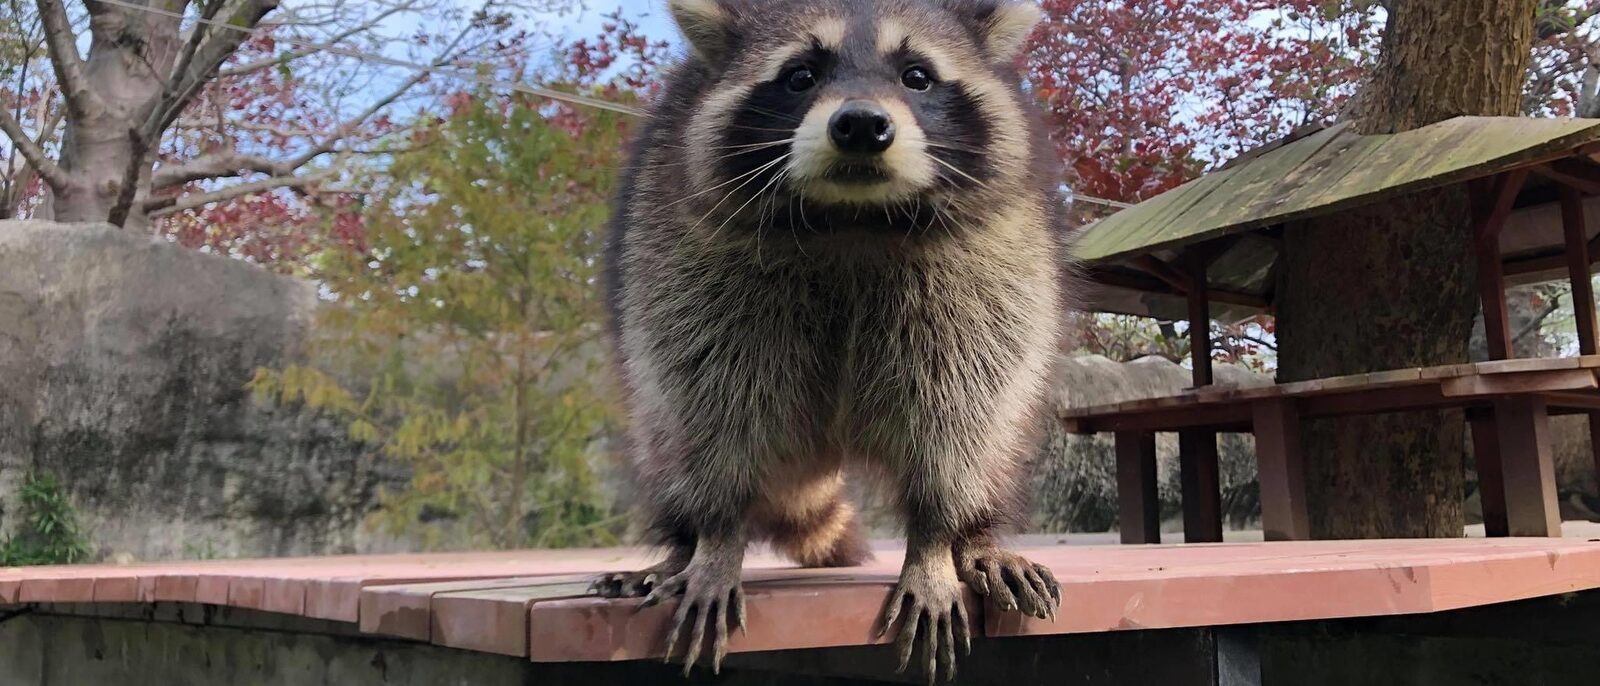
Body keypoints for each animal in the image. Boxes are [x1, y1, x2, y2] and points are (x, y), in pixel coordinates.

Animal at [592, 0, 1070, 680]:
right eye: (800, 76)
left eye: (917, 76)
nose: (862, 125)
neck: (852, 217)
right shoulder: (686, 260)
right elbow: (712, 405)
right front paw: (715, 539)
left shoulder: (989, 263)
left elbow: (959, 414)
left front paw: (936, 542)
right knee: (668, 439)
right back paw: (680, 544)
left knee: (996, 440)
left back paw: (978, 536)